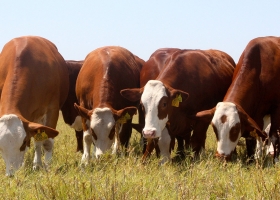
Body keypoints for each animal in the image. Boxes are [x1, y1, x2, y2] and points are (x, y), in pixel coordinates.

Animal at [0, 35, 69, 175]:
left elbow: (47, 142)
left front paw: (48, 168)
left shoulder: (52, 109)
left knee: (38, 141)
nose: (10, 175)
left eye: (23, 142)